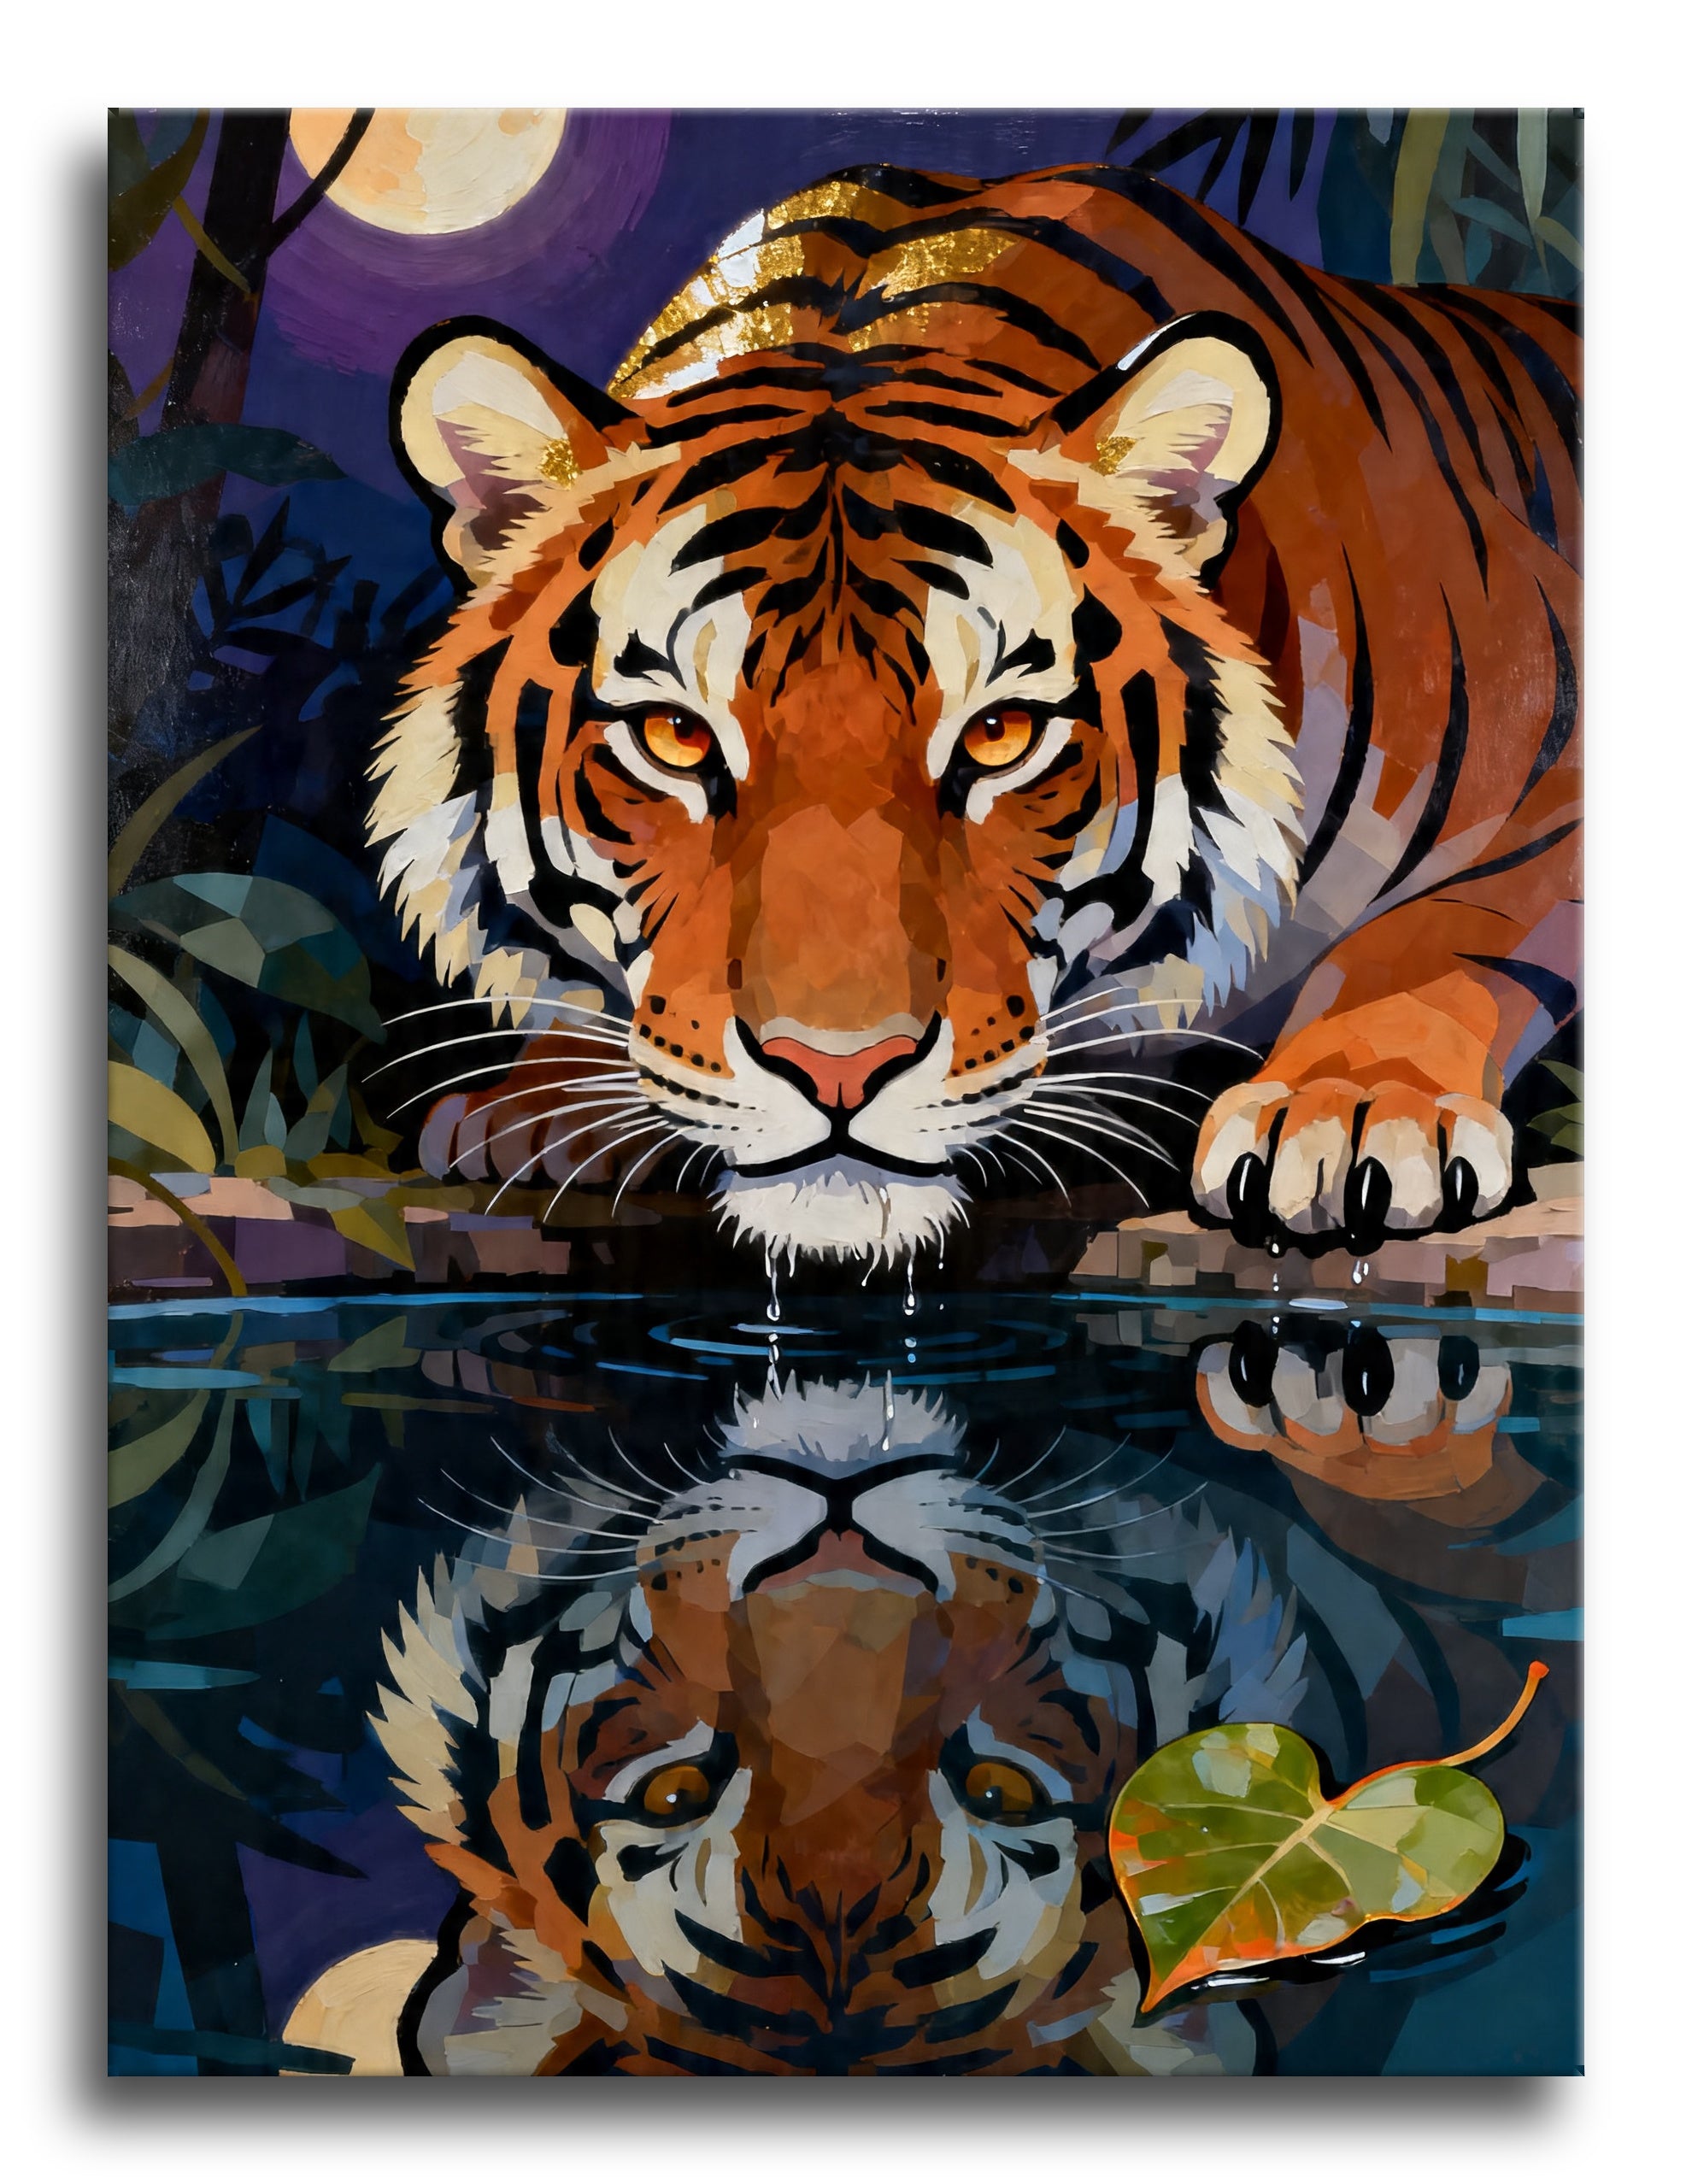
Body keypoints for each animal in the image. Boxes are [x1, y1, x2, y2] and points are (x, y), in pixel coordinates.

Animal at [368, 161, 1581, 1269]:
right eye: (676, 736)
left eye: (1000, 736)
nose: (839, 1072)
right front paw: (535, 1102)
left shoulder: (1553, 772)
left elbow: (1432, 935)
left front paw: (1346, 1110)